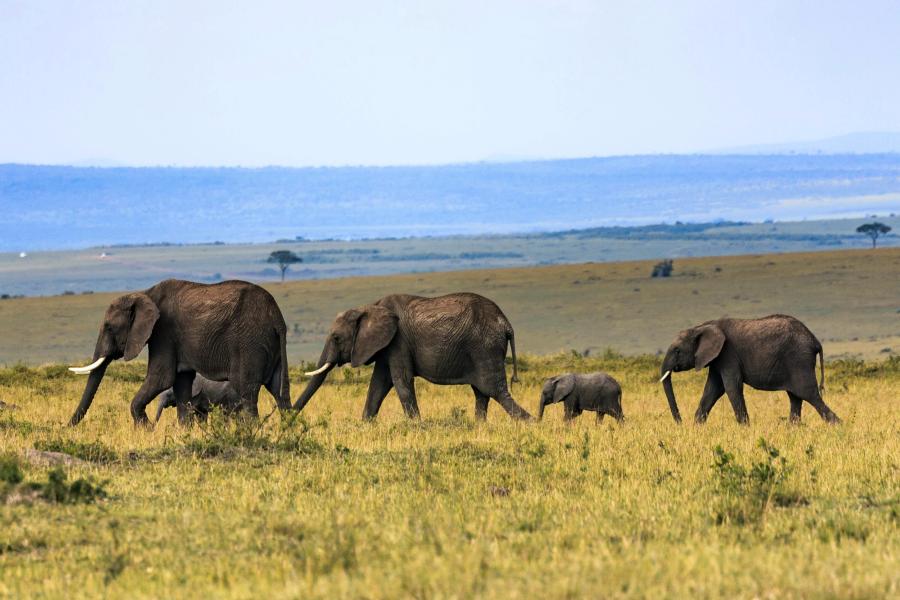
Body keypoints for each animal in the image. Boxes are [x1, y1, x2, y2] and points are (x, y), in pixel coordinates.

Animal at [67, 279, 291, 427]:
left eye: (109, 327)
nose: (67, 427)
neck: (145, 294)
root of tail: (277, 317)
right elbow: (182, 383)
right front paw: (185, 432)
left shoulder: (163, 332)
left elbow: (161, 378)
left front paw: (146, 430)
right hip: (271, 345)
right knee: (279, 391)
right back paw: (288, 431)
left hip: (249, 343)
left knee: (247, 391)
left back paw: (250, 433)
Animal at [295, 292, 531, 421]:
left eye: (336, 337)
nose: (288, 417)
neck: (370, 307)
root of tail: (506, 324)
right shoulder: (387, 345)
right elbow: (378, 384)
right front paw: (364, 425)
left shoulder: (398, 341)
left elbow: (401, 381)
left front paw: (417, 426)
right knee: (482, 393)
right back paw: (478, 427)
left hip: (485, 347)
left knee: (494, 391)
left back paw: (531, 423)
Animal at [659, 314, 840, 425]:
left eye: (677, 350)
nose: (680, 423)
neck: (702, 326)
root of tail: (815, 341)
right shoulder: (717, 359)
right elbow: (712, 389)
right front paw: (697, 427)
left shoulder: (728, 354)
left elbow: (731, 387)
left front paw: (745, 428)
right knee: (795, 397)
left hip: (799, 360)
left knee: (809, 394)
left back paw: (837, 426)